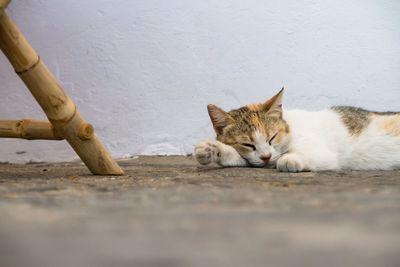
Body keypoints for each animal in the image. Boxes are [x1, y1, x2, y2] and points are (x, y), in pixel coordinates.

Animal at [195, 88, 400, 172]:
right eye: (248, 144)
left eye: (272, 137)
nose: (266, 156)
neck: (291, 128)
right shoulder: (256, 160)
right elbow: (241, 159)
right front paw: (212, 150)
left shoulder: (324, 153)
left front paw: (289, 160)